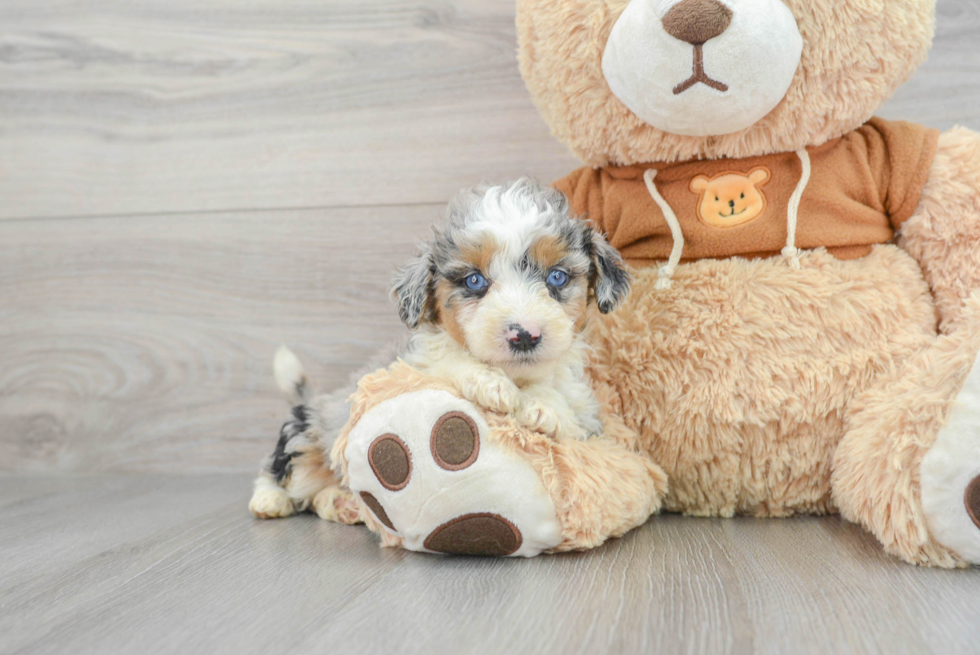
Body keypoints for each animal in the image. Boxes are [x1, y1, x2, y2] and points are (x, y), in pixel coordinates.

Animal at [249, 179, 632, 524]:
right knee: (283, 469)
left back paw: (340, 505)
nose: (524, 335)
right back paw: (270, 499)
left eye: (556, 277)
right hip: (305, 433)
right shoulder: (413, 364)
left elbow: (568, 414)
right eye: (474, 281)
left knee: (317, 496)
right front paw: (491, 384)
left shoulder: (590, 421)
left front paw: (545, 407)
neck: (518, 375)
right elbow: (449, 358)